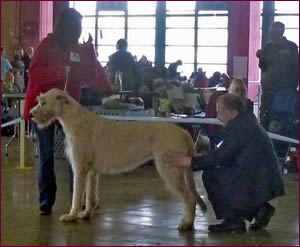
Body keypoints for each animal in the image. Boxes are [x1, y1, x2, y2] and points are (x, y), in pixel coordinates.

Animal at [31, 89, 209, 232]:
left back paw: (187, 223)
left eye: (43, 102)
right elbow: (90, 195)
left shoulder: (80, 168)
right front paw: (86, 213)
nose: (31, 115)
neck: (75, 120)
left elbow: (77, 194)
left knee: (189, 198)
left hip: (170, 169)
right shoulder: (91, 171)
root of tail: (184, 133)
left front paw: (71, 215)